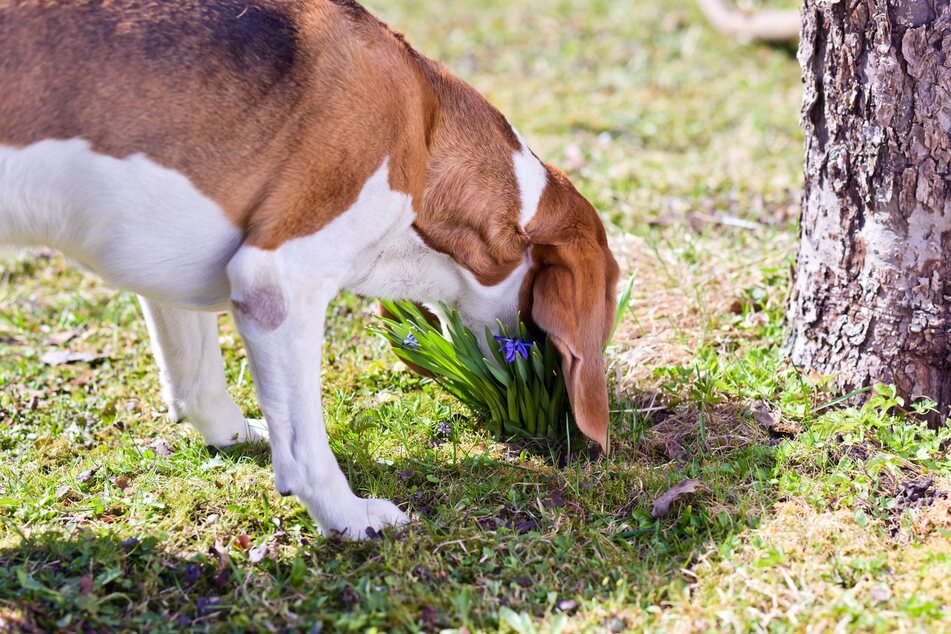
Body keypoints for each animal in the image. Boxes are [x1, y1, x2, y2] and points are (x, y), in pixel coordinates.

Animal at [0, 1, 620, 540]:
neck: (425, 138)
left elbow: (198, 381)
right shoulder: (279, 283)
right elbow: (303, 445)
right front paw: (350, 517)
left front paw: (233, 436)